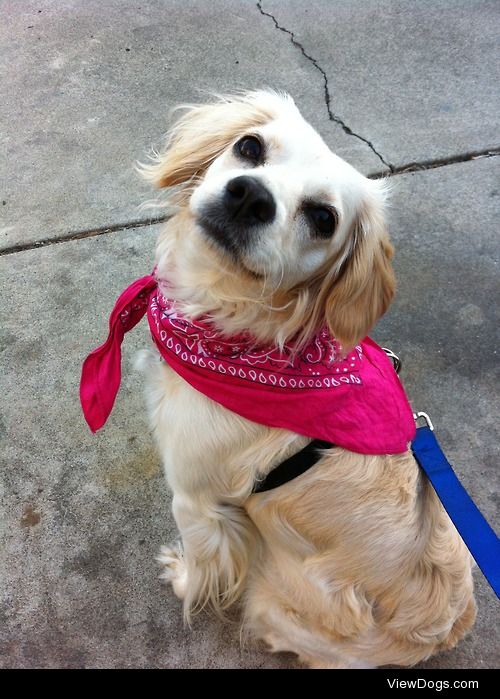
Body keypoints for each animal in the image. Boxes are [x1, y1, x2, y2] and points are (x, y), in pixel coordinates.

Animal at [135, 91, 474, 668]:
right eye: (250, 148)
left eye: (322, 217)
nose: (249, 196)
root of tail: (444, 632)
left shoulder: (195, 500)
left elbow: (202, 566)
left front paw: (181, 579)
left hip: (270, 599)